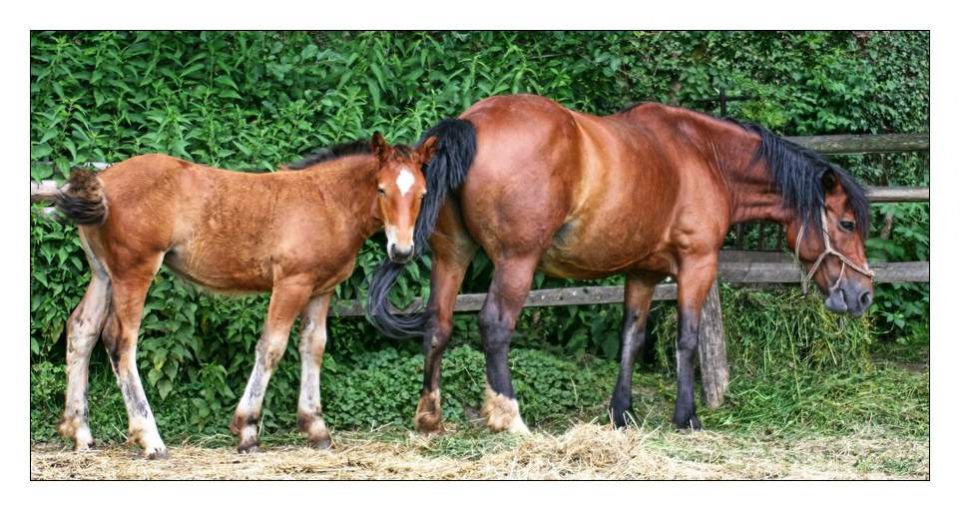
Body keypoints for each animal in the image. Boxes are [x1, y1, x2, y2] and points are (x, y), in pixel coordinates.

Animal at [52, 133, 436, 460]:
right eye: (382, 189)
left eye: (422, 194)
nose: (402, 251)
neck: (327, 201)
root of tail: (103, 181)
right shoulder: (291, 284)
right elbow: (272, 348)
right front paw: (247, 430)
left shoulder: (321, 289)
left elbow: (313, 347)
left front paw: (316, 428)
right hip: (134, 271)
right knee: (121, 341)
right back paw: (150, 439)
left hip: (104, 274)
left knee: (82, 330)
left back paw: (80, 433)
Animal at [370, 93, 876, 436]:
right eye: (847, 223)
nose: (863, 295)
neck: (704, 155)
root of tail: (471, 122)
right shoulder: (697, 264)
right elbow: (687, 339)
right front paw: (686, 416)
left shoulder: (643, 272)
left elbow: (632, 338)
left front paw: (622, 412)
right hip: (516, 263)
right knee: (494, 326)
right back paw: (509, 417)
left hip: (452, 255)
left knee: (438, 325)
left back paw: (429, 417)